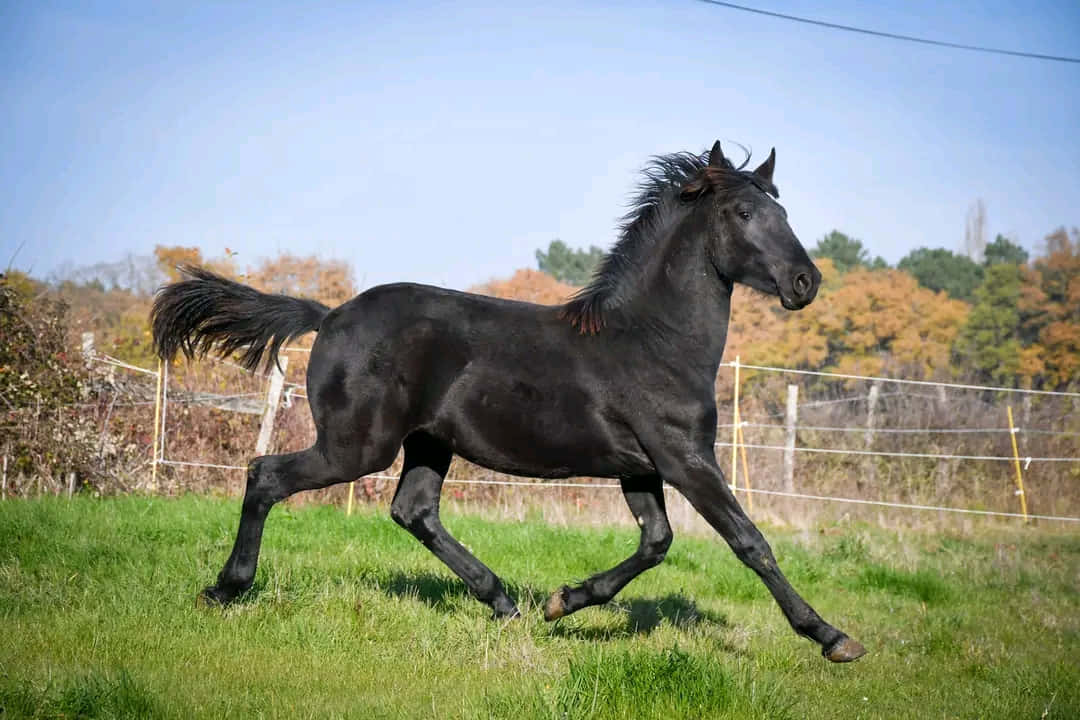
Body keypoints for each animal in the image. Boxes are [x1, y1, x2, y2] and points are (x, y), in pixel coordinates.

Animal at [151, 141, 865, 663]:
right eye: (743, 214)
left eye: (783, 212)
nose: (805, 282)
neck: (651, 340)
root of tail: (327, 316)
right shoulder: (686, 459)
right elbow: (750, 542)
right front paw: (832, 637)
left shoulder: (641, 467)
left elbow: (656, 543)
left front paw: (564, 601)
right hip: (356, 445)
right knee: (266, 476)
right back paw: (225, 589)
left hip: (428, 443)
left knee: (414, 511)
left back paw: (504, 602)